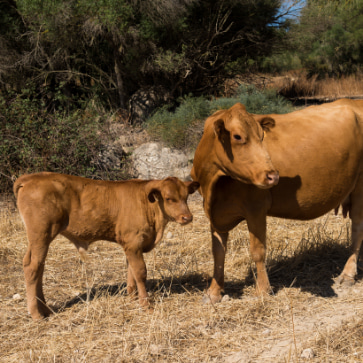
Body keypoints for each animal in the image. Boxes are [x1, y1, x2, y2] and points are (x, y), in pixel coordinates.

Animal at [13, 172, 199, 320]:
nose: (187, 217)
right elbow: (140, 272)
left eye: (186, 197)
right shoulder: (133, 242)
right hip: (41, 234)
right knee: (32, 266)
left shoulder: (131, 246)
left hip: (40, 239)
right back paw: (36, 314)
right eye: (169, 198)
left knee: (39, 267)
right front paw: (145, 304)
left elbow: (131, 270)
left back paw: (45, 309)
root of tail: (31, 177)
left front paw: (132, 297)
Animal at [192, 99, 363, 304]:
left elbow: (258, 251)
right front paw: (213, 293)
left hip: (361, 187)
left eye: (262, 136)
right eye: (237, 136)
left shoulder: (256, 207)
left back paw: (347, 275)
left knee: (357, 228)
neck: (213, 183)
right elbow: (218, 252)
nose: (273, 176)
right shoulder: (215, 211)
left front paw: (263, 291)